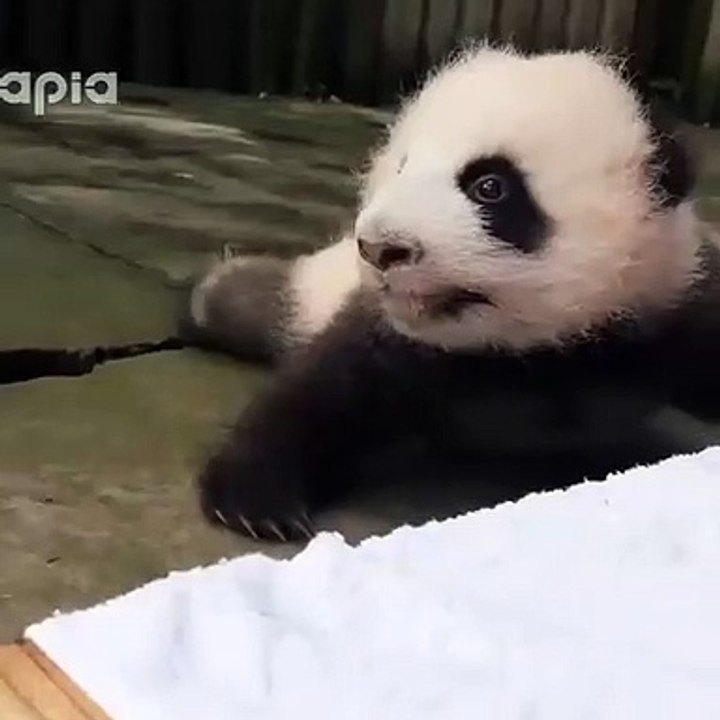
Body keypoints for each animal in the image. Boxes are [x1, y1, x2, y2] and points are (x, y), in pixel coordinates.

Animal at [184, 45, 720, 543]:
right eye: (401, 168)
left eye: (490, 186)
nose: (380, 248)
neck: (531, 355)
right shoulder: (395, 340)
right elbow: (320, 390)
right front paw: (252, 502)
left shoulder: (672, 304)